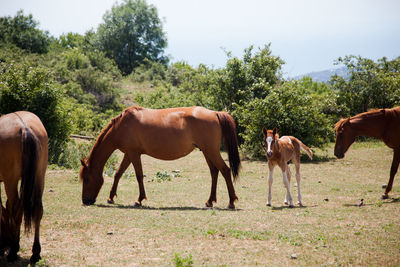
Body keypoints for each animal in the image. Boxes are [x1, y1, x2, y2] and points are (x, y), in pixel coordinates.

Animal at [0, 111, 47, 264]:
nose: (5, 243)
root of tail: (25, 128)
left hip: (11, 180)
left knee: (17, 208)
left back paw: (13, 251)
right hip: (39, 175)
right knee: (37, 209)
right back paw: (35, 253)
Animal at [79, 106, 239, 209]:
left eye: (86, 179)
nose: (85, 201)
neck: (121, 126)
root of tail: (215, 113)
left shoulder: (133, 153)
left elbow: (138, 175)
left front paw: (139, 200)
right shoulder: (128, 154)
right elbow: (118, 173)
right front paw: (111, 198)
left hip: (211, 151)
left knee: (225, 170)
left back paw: (231, 202)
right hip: (206, 152)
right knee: (214, 172)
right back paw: (210, 201)